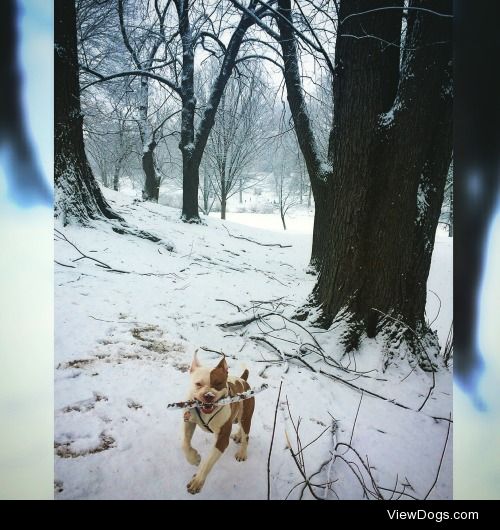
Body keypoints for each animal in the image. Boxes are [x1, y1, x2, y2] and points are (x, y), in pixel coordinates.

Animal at [182, 352, 254, 492]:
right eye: (198, 384)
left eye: (218, 383)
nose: (208, 395)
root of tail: (242, 380)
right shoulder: (188, 421)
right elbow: (185, 444)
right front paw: (194, 459)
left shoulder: (222, 439)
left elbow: (208, 462)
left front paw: (197, 481)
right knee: (240, 427)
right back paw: (238, 436)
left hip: (246, 416)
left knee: (246, 434)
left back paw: (242, 453)